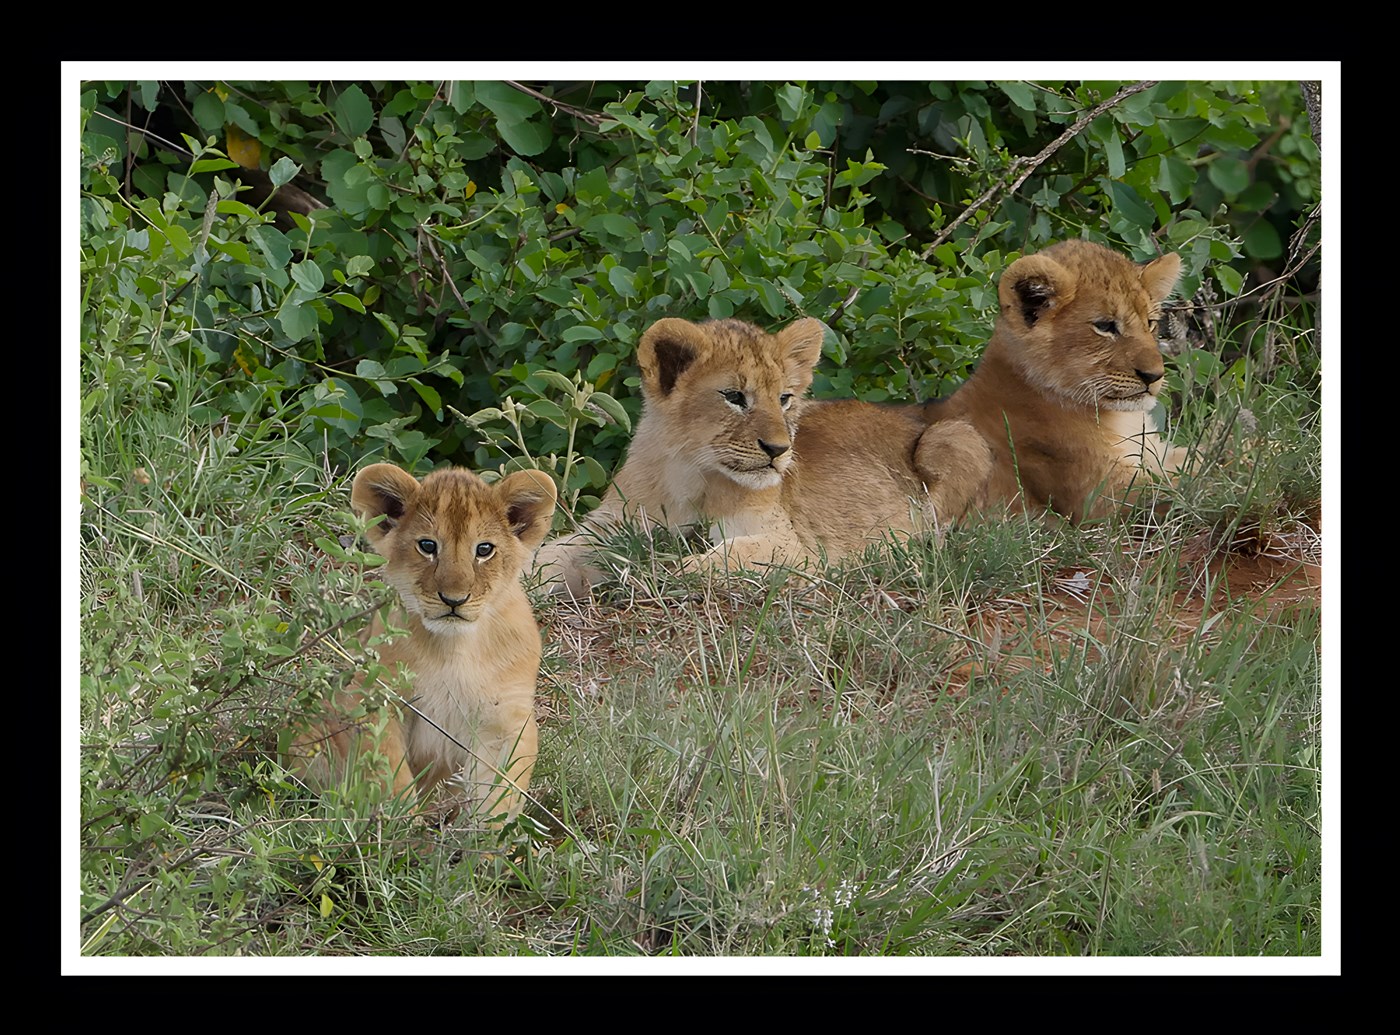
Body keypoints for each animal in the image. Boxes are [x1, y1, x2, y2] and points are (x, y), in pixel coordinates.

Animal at [288, 462, 557, 824]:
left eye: (484, 549)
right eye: (428, 546)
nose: (454, 600)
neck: (454, 649)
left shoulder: (504, 720)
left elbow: (498, 795)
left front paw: (485, 839)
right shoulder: (379, 701)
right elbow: (389, 776)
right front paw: (401, 828)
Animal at [914, 238, 1187, 523]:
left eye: (1150, 323)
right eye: (1105, 326)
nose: (1154, 375)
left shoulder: (1158, 455)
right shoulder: (1107, 499)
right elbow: (1190, 482)